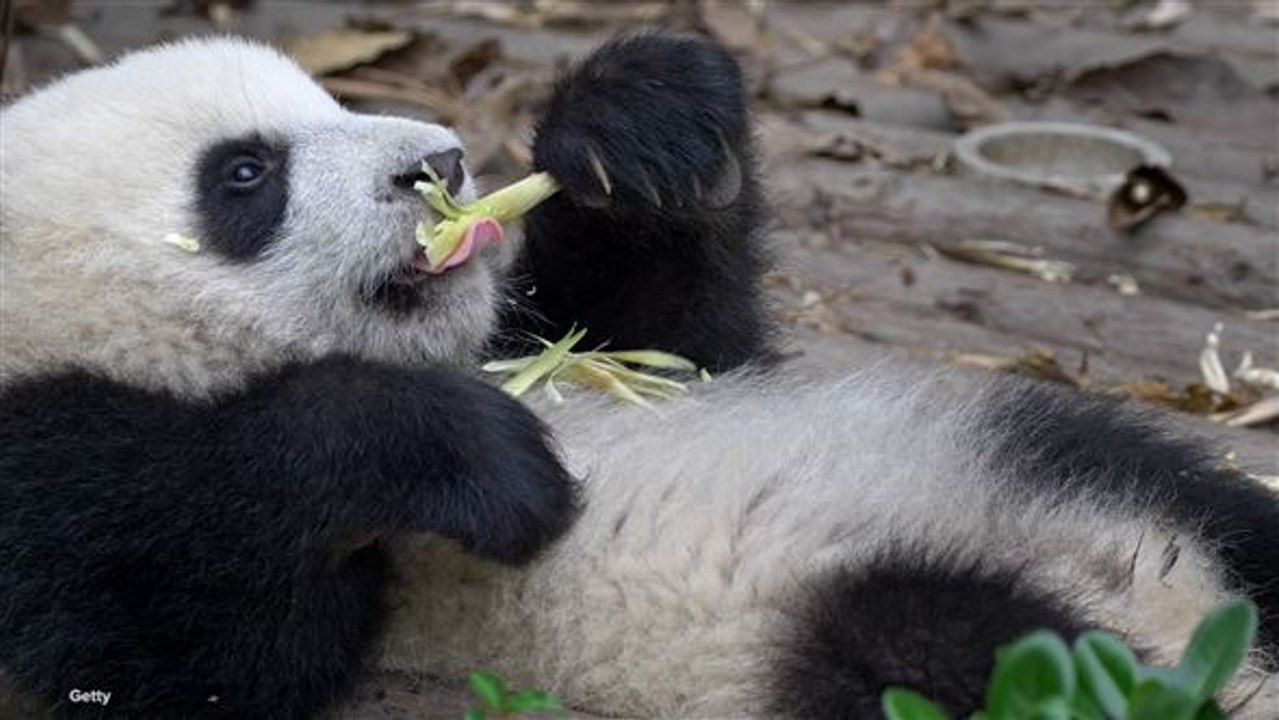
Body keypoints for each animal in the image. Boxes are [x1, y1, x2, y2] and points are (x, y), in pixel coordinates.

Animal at [1, 32, 1277, 720]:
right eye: (246, 174)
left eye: (327, 102)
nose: (438, 164)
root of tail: (1173, 599)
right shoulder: (59, 503)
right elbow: (219, 639)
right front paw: (468, 458)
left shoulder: (552, 341)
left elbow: (673, 338)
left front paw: (636, 122)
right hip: (836, 624)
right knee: (970, 652)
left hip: (1069, 455)